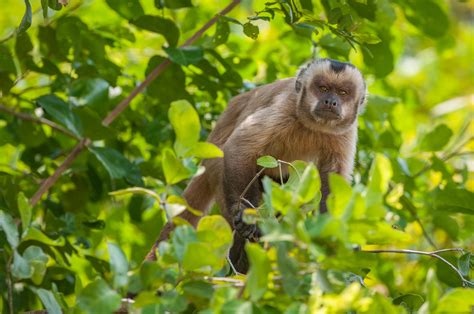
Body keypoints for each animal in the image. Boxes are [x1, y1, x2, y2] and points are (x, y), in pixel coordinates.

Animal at [144, 58, 366, 272]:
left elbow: (332, 179)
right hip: (216, 168)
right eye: (322, 88)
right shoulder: (285, 107)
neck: (313, 126)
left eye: (343, 93)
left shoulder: (346, 131)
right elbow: (238, 148)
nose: (331, 101)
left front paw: (332, 239)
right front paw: (248, 216)